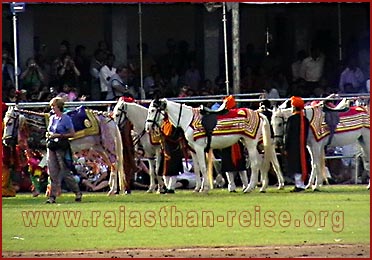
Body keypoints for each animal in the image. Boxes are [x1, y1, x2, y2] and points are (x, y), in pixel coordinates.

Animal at [144, 97, 284, 193]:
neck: (188, 119)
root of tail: (258, 113)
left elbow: (203, 167)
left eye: (152, 110)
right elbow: (198, 168)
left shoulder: (199, 148)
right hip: (250, 143)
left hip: (251, 144)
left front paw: (205, 188)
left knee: (256, 164)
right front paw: (199, 188)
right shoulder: (194, 150)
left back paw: (249, 187)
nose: (147, 127)